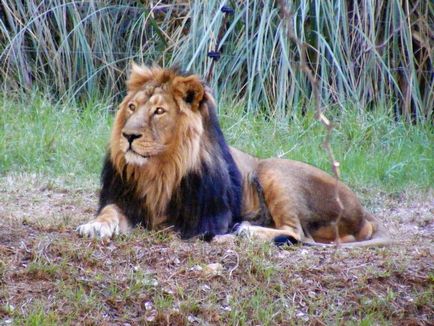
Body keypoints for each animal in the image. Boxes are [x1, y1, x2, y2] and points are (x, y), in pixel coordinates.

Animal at [78, 63, 390, 247]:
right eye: (132, 107)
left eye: (159, 111)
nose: (128, 136)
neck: (160, 169)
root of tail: (363, 212)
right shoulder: (123, 200)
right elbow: (109, 212)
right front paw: (94, 226)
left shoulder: (205, 220)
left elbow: (168, 226)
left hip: (272, 170)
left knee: (295, 233)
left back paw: (246, 231)